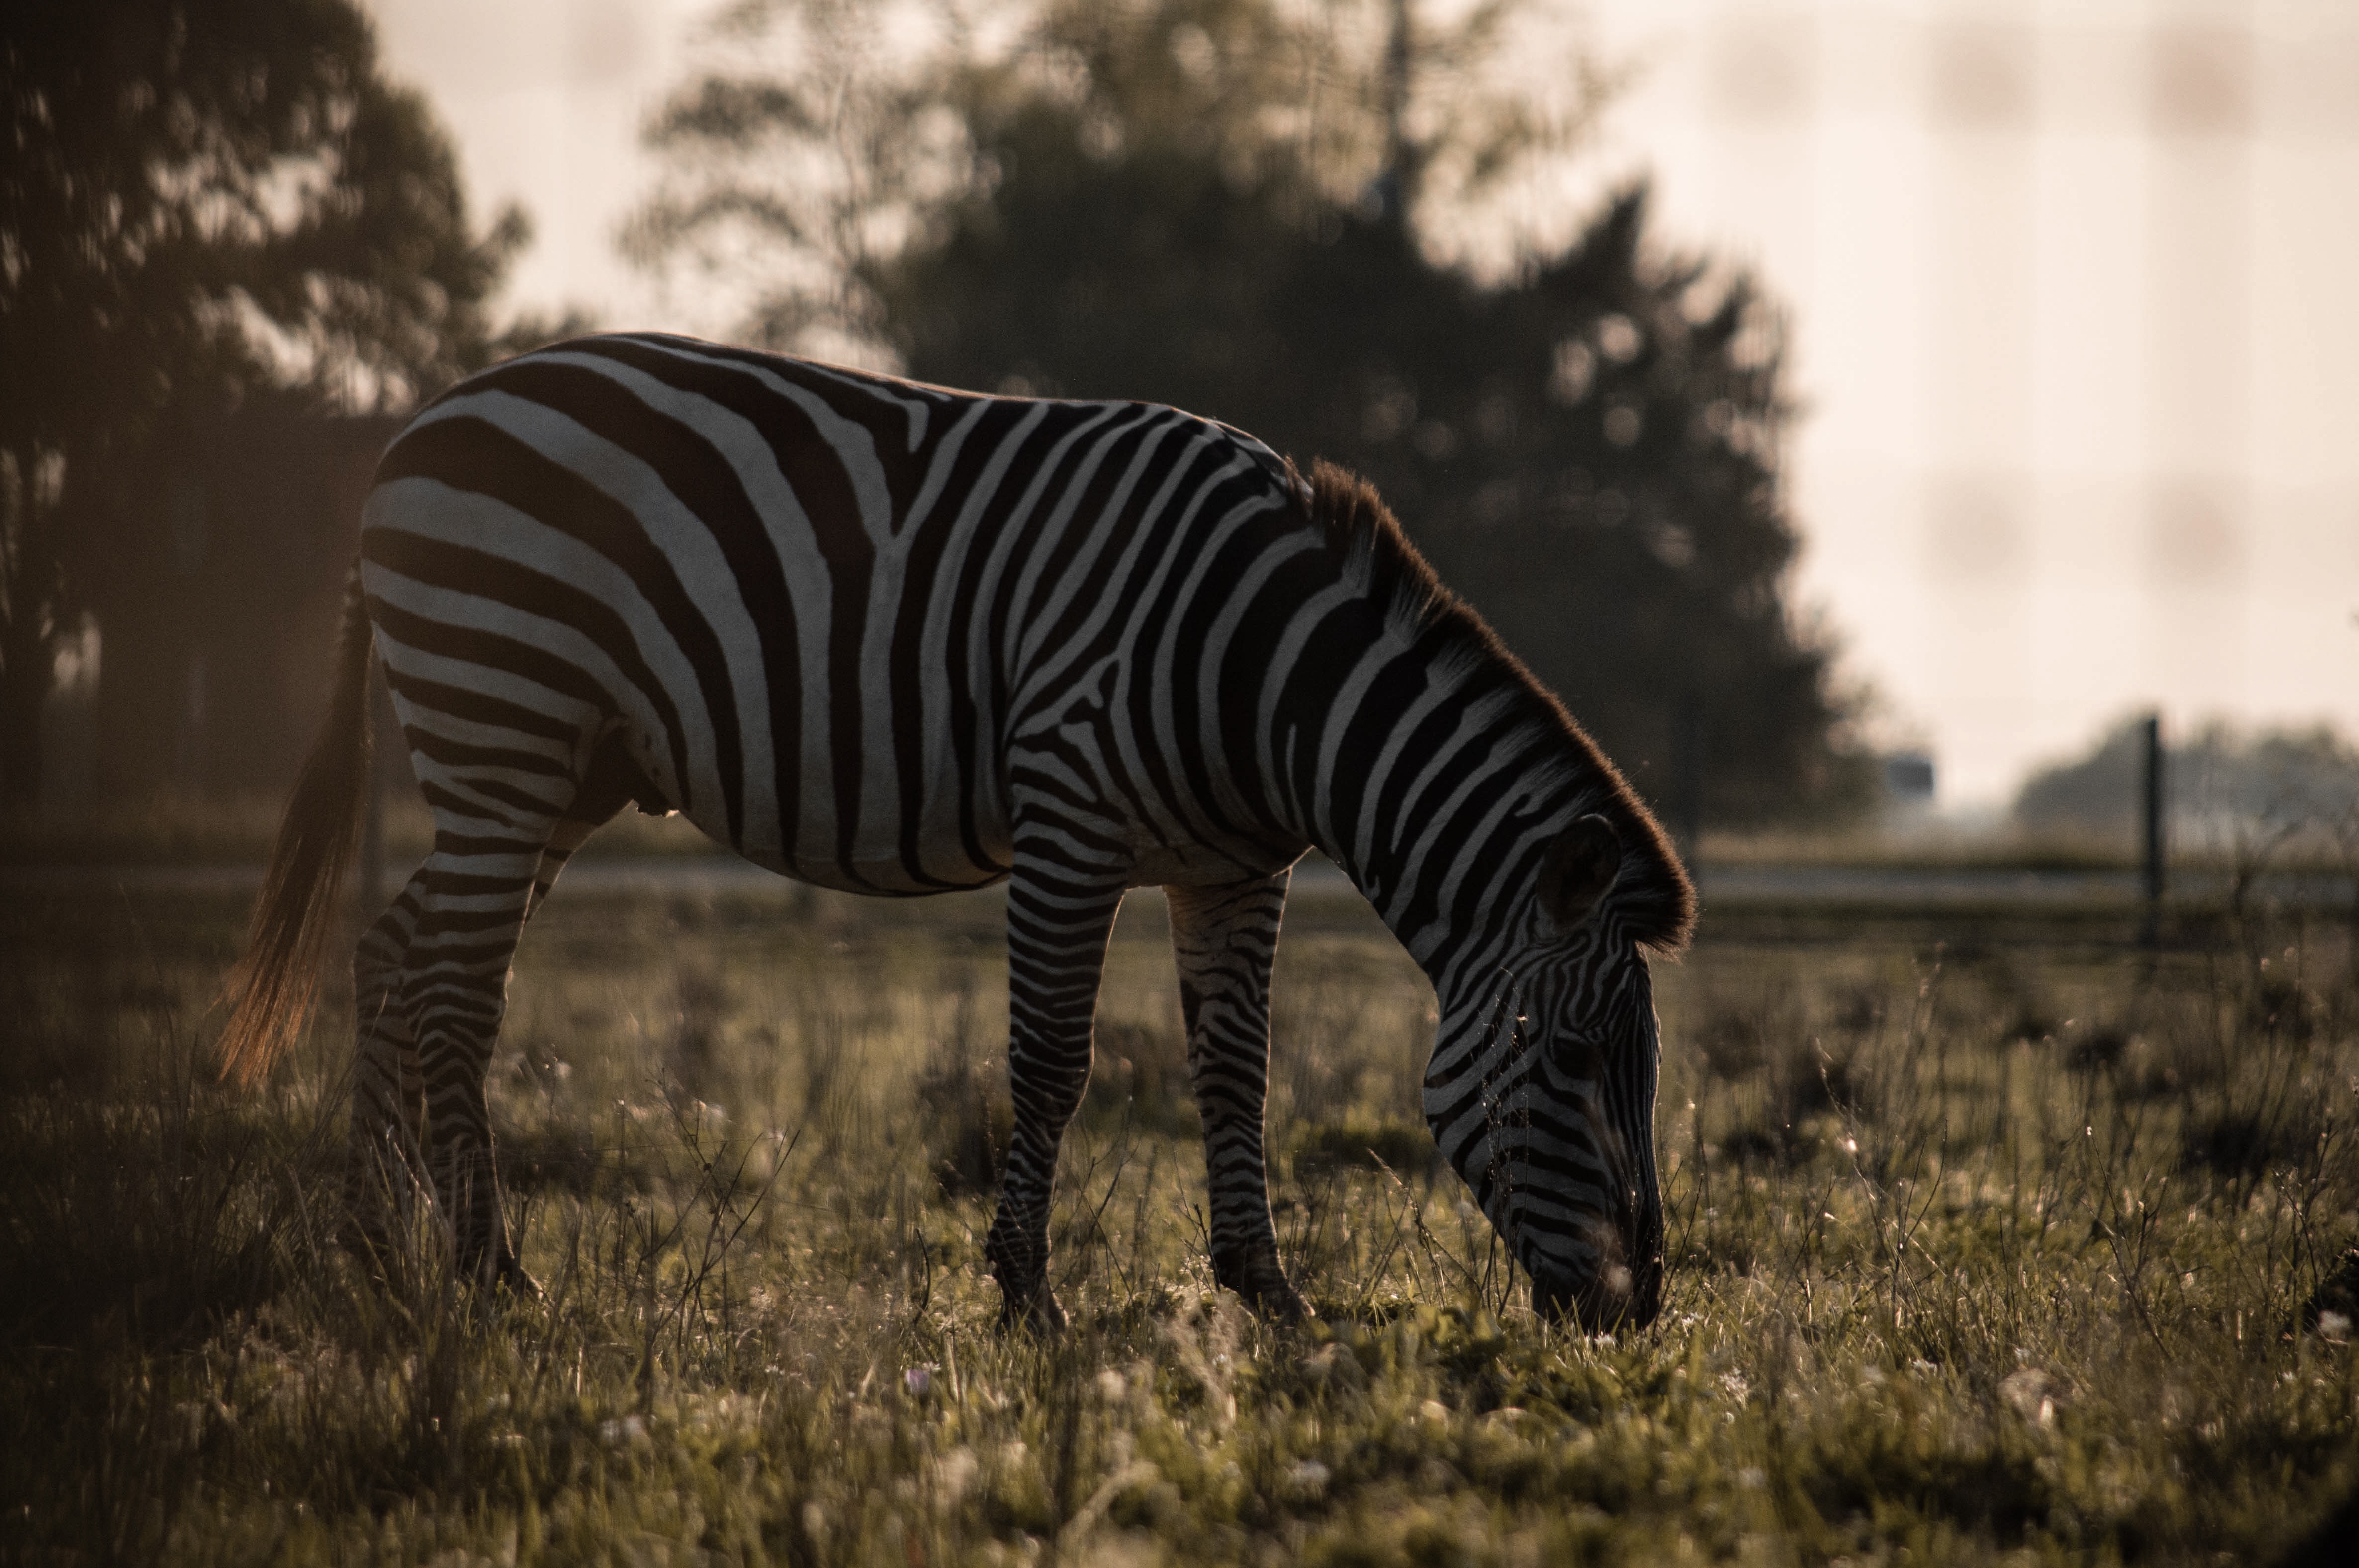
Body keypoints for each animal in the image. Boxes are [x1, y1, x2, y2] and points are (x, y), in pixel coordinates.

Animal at [221, 337, 1698, 1329]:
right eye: (1572, 1056)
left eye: (1636, 1064)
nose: (1638, 1309)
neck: (1270, 683)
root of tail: (418, 424)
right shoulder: (1070, 821)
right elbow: (1051, 1064)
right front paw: (1027, 1295)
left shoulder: (1234, 871)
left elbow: (1240, 1074)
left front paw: (1266, 1294)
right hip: (502, 717)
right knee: (455, 988)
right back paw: (487, 1266)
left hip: (553, 766)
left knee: (393, 952)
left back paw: (368, 1244)